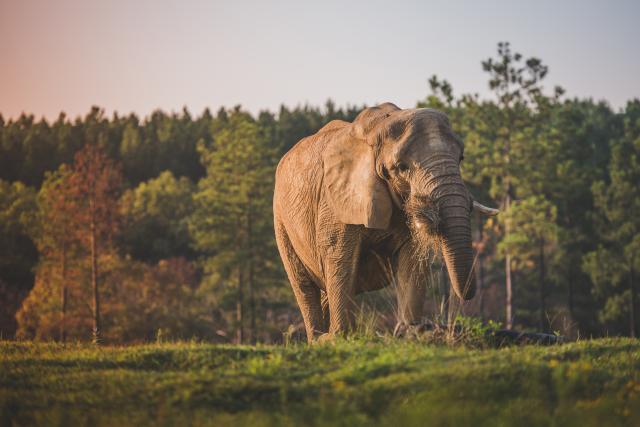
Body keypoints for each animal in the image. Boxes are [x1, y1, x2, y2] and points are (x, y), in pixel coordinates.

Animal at [273, 103, 498, 343]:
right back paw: (318, 339)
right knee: (304, 285)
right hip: (280, 218)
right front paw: (340, 338)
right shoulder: (336, 201)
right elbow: (340, 257)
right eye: (402, 167)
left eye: (461, 158)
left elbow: (411, 258)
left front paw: (411, 331)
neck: (378, 128)